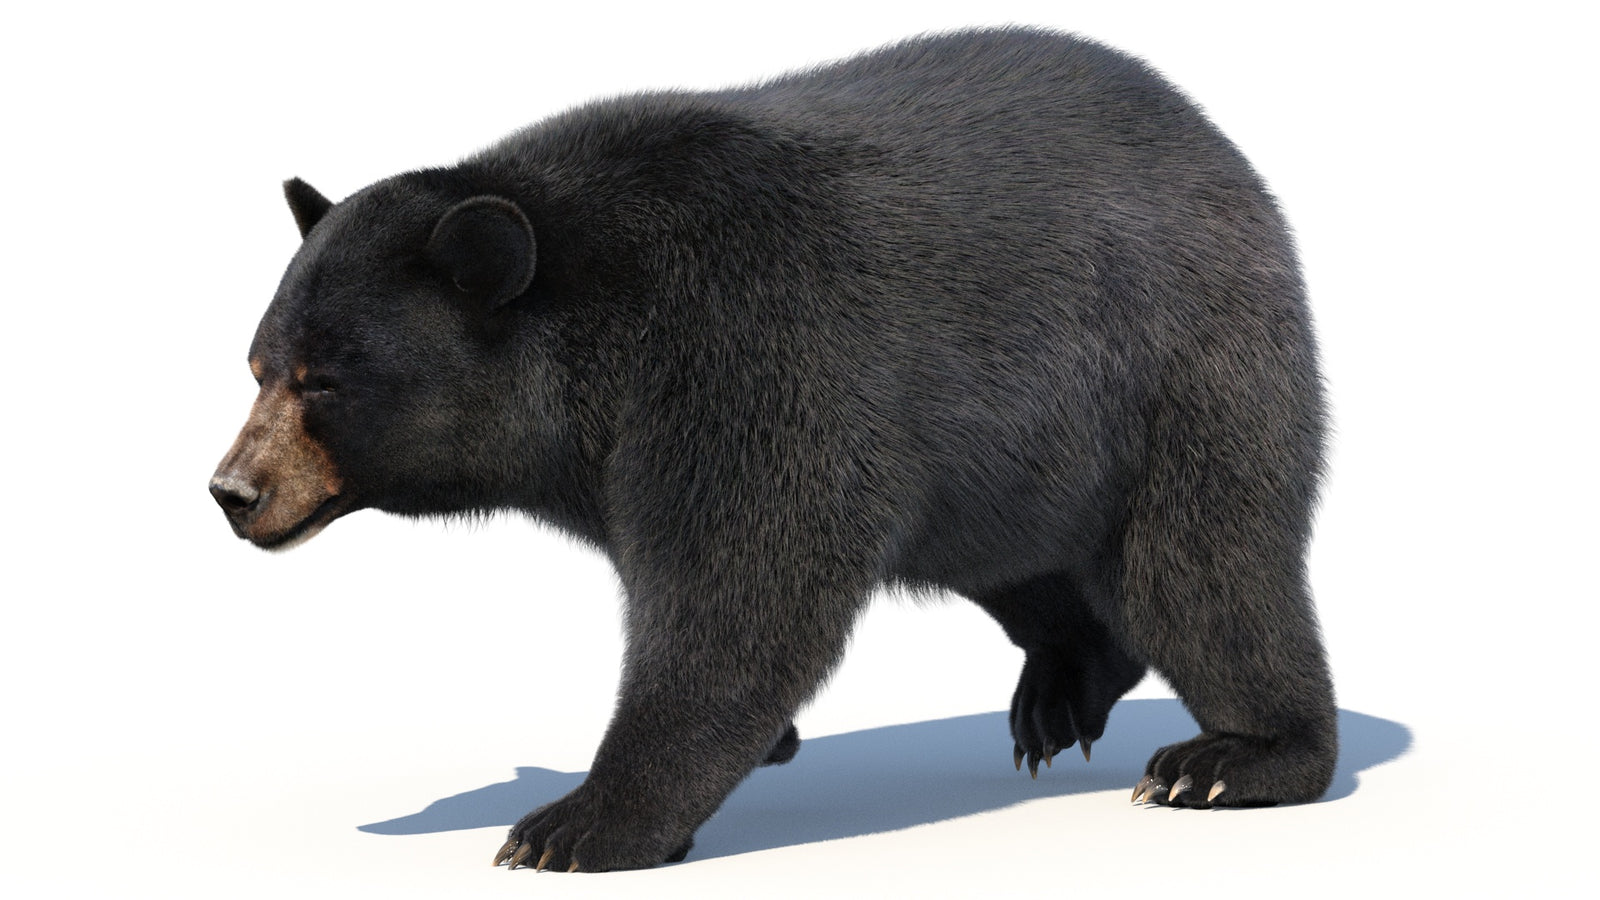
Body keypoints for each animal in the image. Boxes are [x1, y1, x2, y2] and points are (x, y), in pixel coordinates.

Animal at [210, 27, 1337, 872]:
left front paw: (578, 823)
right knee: (1035, 569)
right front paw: (763, 747)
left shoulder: (748, 355)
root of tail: (1227, 155)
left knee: (1204, 568)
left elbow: (742, 589)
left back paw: (1233, 758)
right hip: (1013, 465)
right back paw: (1061, 692)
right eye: (257, 363)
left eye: (323, 380)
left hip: (1176, 374)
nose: (233, 491)